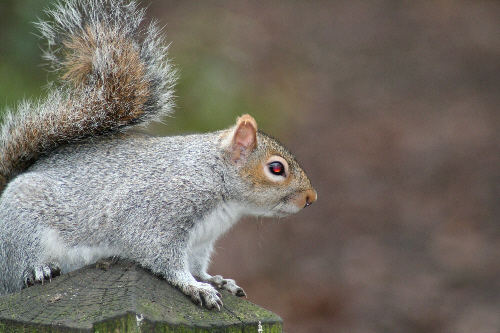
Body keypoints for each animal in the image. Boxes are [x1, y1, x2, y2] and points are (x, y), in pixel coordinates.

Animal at [0, 0, 316, 308]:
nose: (311, 198)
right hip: (20, 228)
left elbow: (197, 266)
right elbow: (161, 255)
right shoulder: (159, 211)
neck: (215, 179)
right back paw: (37, 269)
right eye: (276, 169)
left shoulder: (200, 243)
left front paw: (214, 280)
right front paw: (193, 286)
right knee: (18, 269)